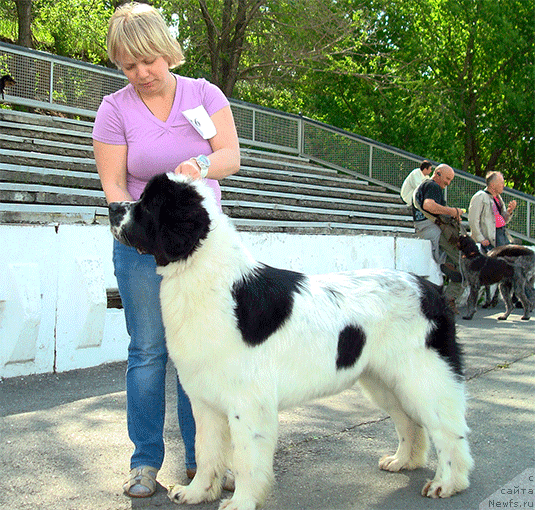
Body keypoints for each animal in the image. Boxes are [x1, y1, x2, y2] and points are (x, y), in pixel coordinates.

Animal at [108, 174, 474, 510]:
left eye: (150, 204)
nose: (112, 207)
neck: (209, 279)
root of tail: (431, 289)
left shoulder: (248, 403)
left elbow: (245, 458)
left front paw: (240, 502)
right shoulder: (204, 399)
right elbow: (206, 449)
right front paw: (197, 492)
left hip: (423, 376)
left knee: (448, 430)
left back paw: (447, 483)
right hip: (384, 381)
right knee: (410, 422)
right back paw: (403, 461)